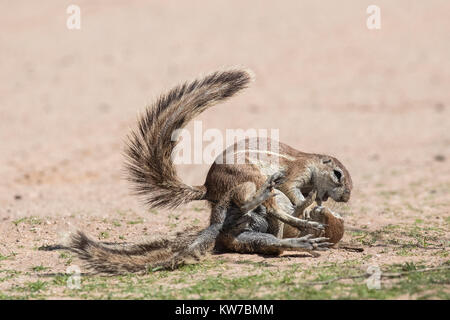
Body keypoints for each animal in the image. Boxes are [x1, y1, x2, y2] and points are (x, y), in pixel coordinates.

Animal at [69, 69, 352, 274]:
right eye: (338, 174)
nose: (347, 197)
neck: (311, 163)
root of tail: (209, 189)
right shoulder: (297, 172)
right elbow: (293, 189)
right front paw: (307, 201)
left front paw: (314, 205)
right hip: (249, 178)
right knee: (267, 206)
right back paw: (285, 210)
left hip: (250, 229)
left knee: (272, 235)